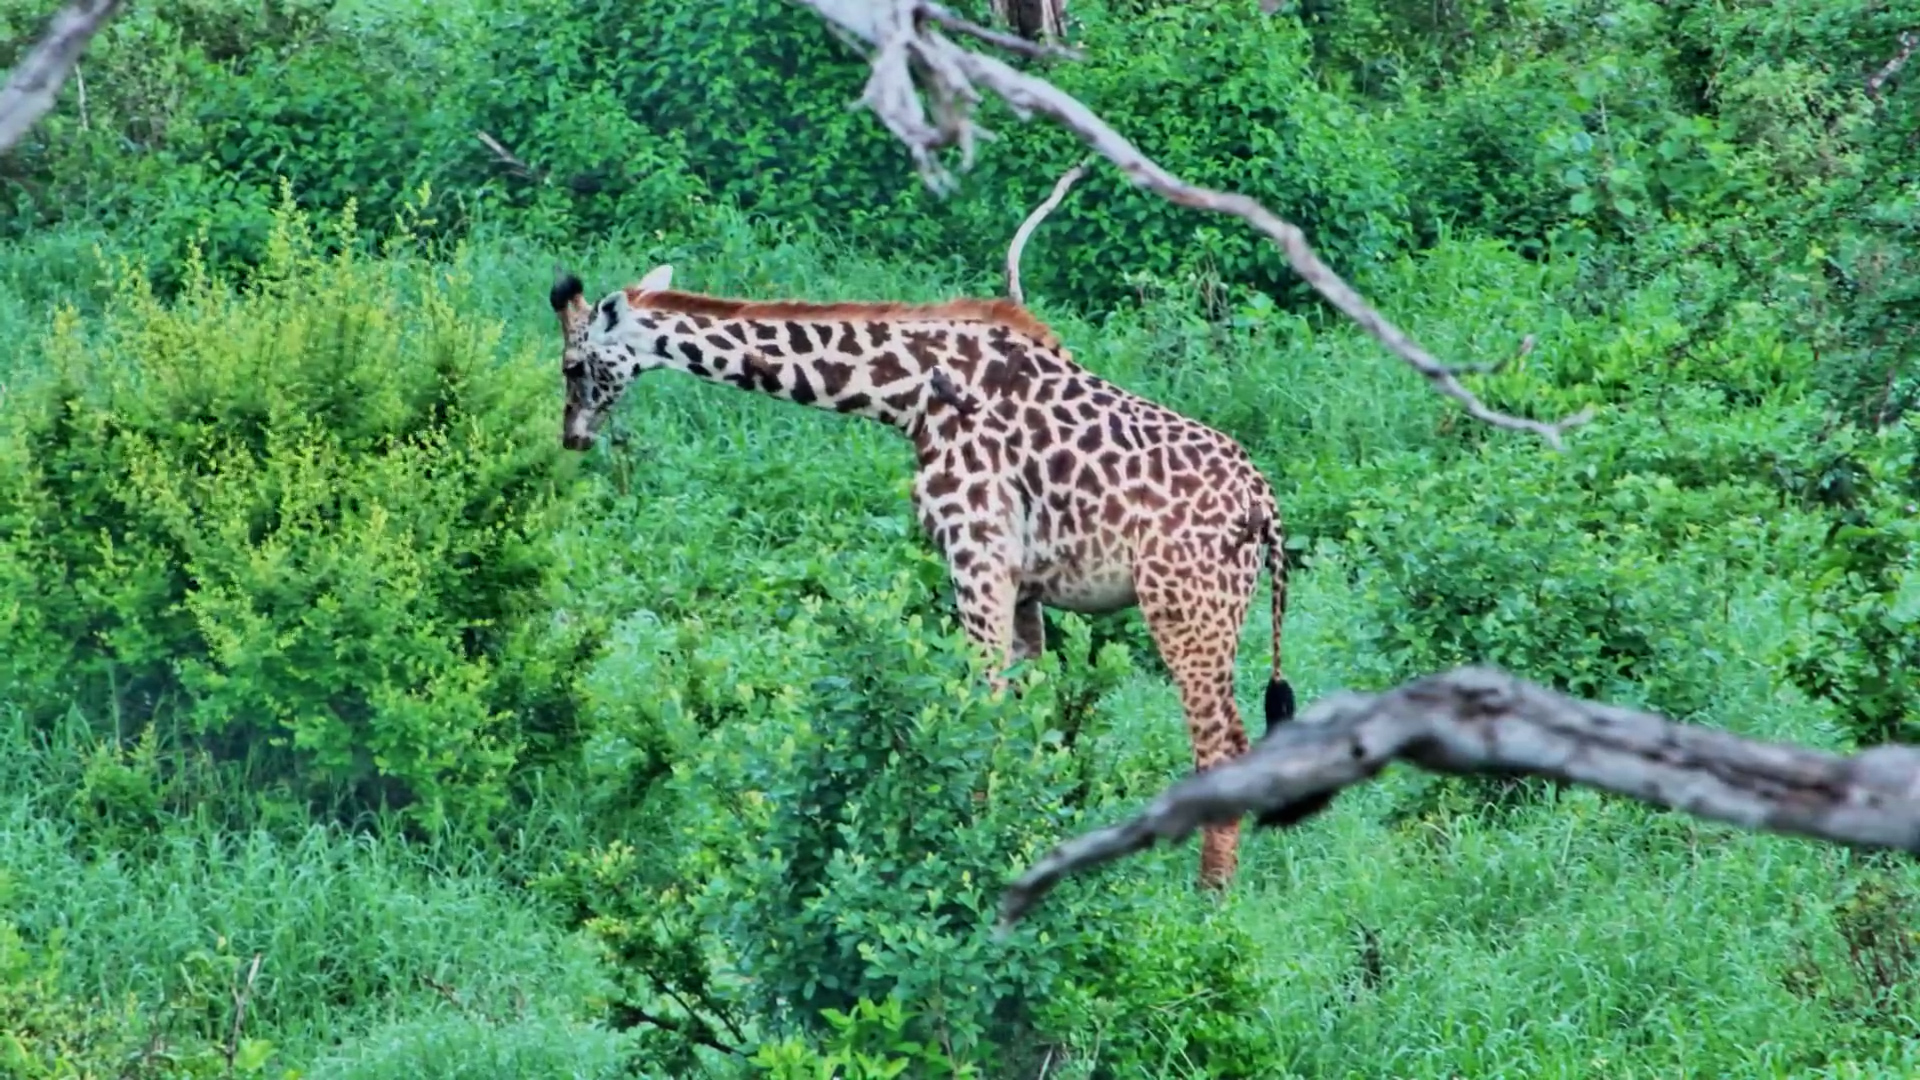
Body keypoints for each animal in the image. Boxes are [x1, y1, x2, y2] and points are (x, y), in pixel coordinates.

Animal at [548, 263, 1296, 889]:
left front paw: (971, 850)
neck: (905, 394)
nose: (572, 437)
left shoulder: (976, 554)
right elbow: (1025, 722)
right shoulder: (1022, 584)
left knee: (1222, 743)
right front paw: (1023, 839)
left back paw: (1210, 900)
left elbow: (981, 709)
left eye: (573, 364)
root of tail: (1264, 504)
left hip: (1183, 603)